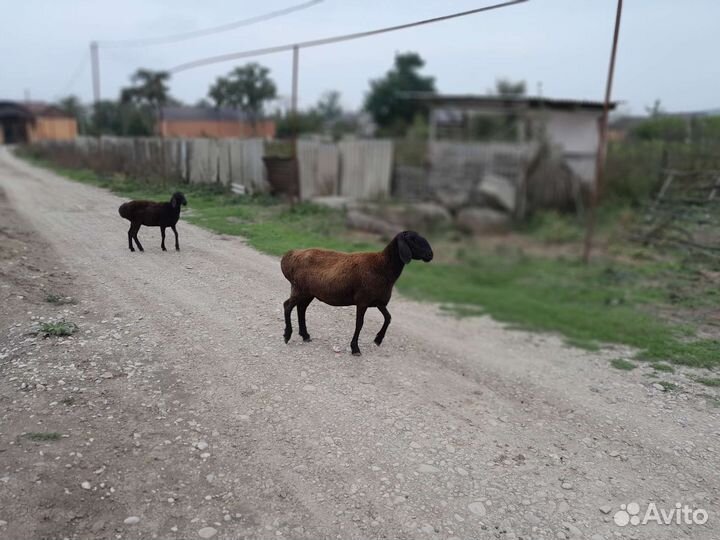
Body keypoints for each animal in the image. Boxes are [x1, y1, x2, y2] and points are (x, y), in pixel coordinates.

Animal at [280, 231, 433, 356]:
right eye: (413, 239)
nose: (430, 255)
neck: (383, 267)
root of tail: (290, 256)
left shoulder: (378, 301)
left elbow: (388, 318)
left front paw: (378, 339)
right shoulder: (362, 301)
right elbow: (359, 324)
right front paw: (355, 348)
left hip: (308, 292)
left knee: (301, 308)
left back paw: (305, 335)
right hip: (299, 288)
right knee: (287, 306)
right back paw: (287, 335)